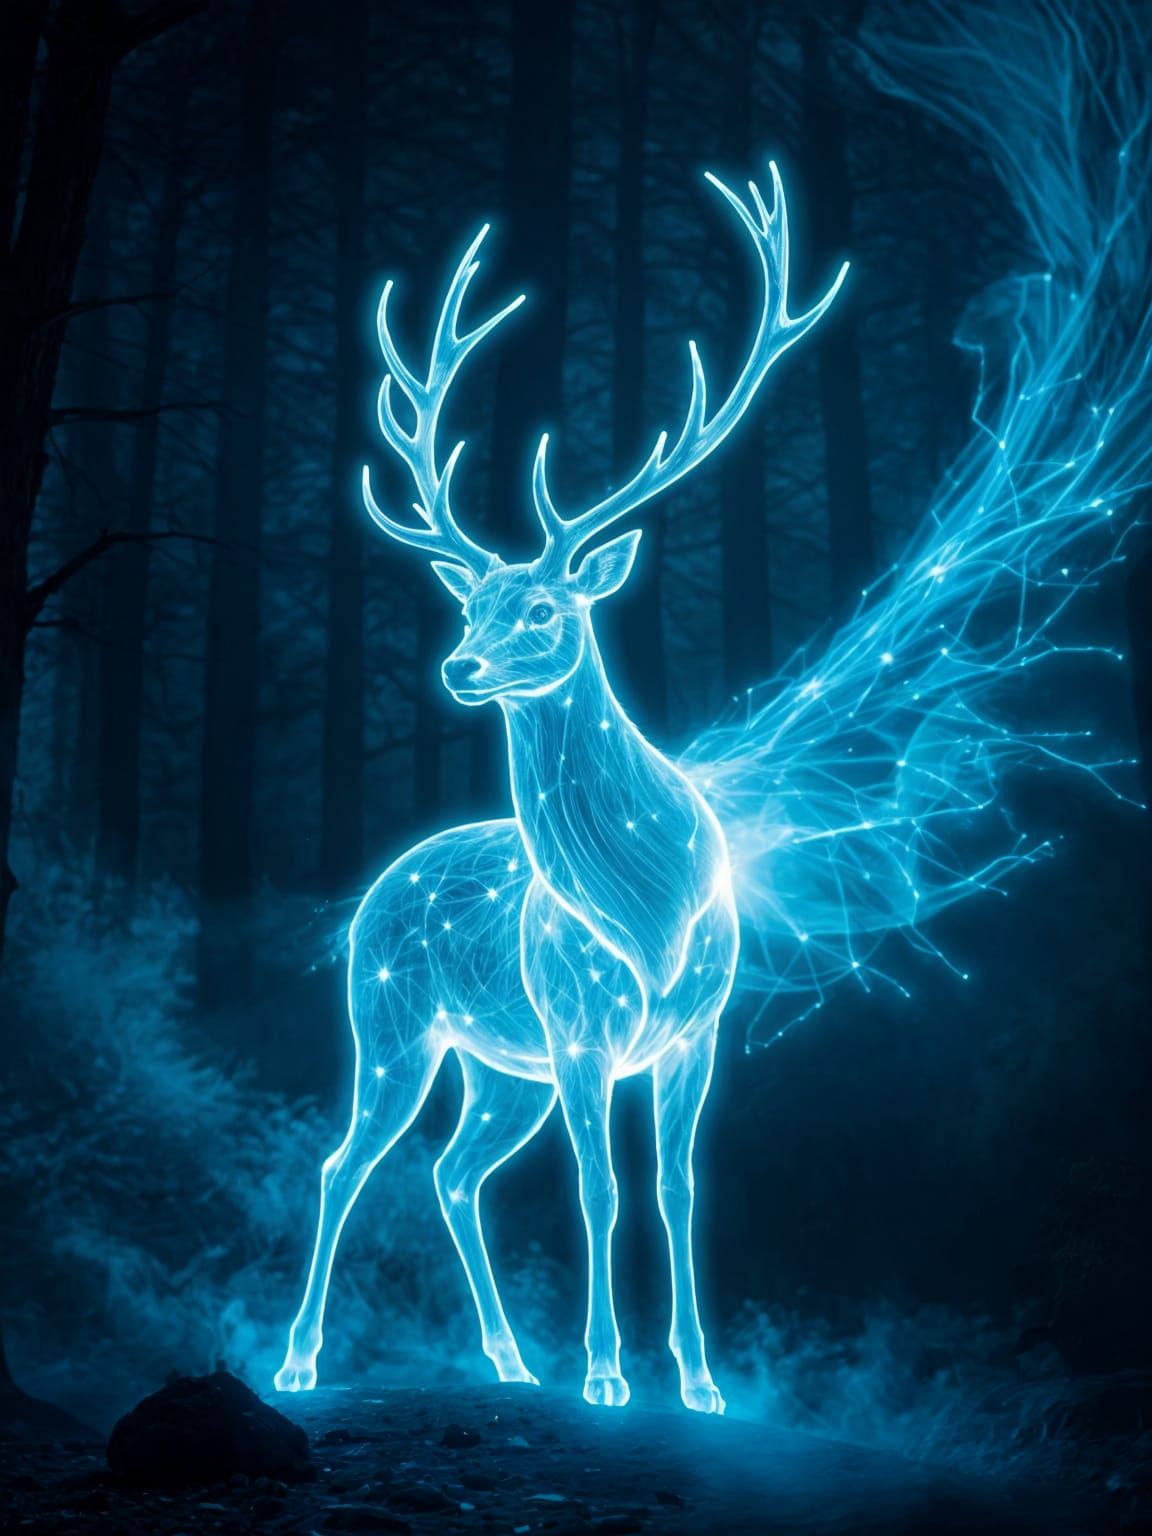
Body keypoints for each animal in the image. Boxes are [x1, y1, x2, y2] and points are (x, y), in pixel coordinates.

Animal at [274, 164, 846, 1413]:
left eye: (542, 609)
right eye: (473, 605)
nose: (457, 668)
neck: (649, 910)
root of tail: (380, 886)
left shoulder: (696, 1030)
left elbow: (678, 1190)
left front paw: (701, 1382)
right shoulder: (583, 1025)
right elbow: (601, 1191)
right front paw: (607, 1375)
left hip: (502, 1071)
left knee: (451, 1172)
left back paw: (505, 1358)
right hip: (396, 1023)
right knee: (345, 1162)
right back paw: (298, 1359)